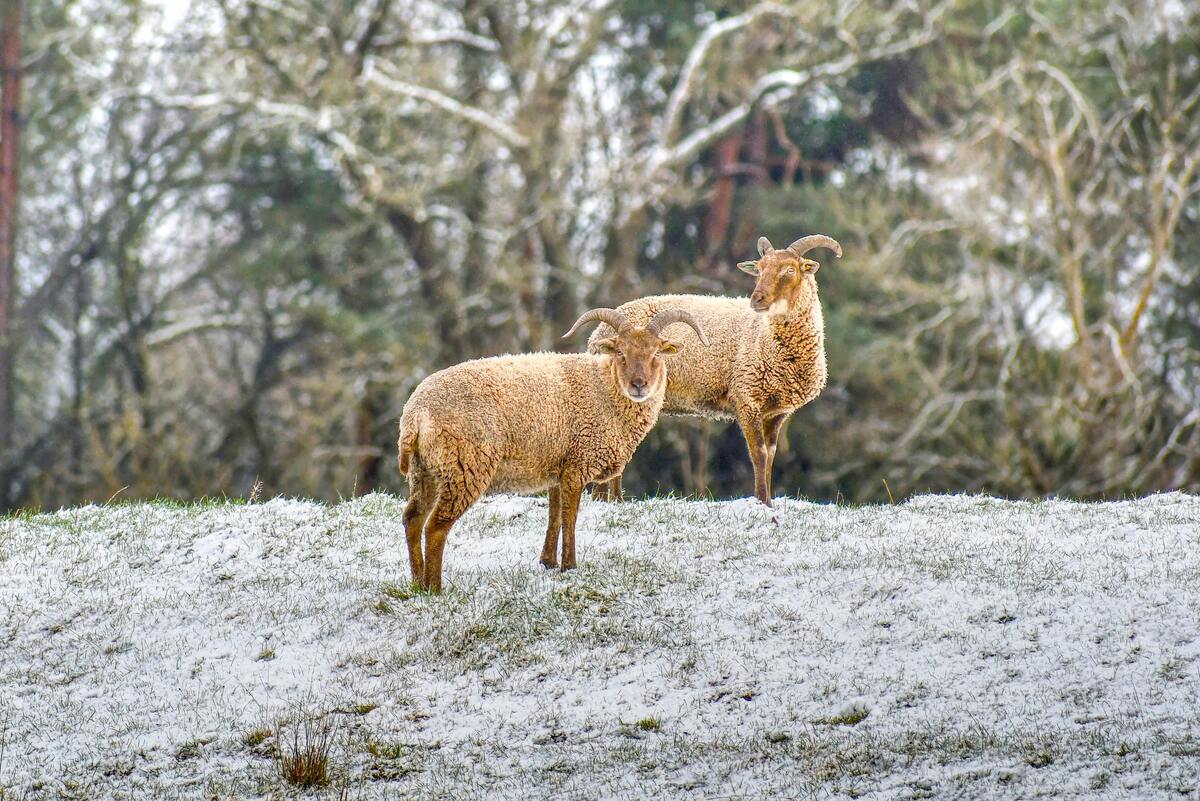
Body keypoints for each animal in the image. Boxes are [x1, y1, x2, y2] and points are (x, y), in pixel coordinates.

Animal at [398, 303, 705, 592]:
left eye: (657, 353)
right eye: (620, 352)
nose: (639, 385)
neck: (604, 389)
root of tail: (415, 414)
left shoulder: (559, 466)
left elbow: (554, 515)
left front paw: (548, 562)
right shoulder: (577, 465)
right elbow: (570, 517)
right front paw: (570, 566)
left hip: (425, 471)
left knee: (412, 518)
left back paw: (418, 583)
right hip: (464, 467)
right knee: (436, 526)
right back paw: (435, 587)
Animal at [585, 232, 840, 506]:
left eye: (790, 270)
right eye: (759, 270)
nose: (757, 300)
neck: (766, 336)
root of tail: (596, 337)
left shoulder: (777, 411)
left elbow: (771, 455)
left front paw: (769, 501)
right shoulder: (746, 397)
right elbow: (759, 453)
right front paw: (762, 502)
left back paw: (610, 500)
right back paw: (608, 500)